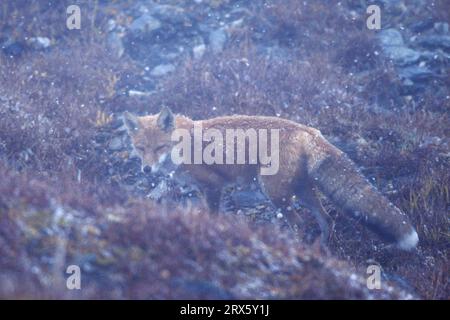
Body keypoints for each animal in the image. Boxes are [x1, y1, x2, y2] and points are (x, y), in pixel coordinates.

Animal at [122, 107, 418, 250]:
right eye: (140, 148)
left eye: (159, 148)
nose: (147, 170)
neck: (183, 144)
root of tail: (311, 132)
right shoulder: (202, 189)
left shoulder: (213, 186)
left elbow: (213, 216)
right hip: (302, 191)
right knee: (327, 220)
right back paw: (321, 252)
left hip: (274, 192)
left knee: (300, 224)